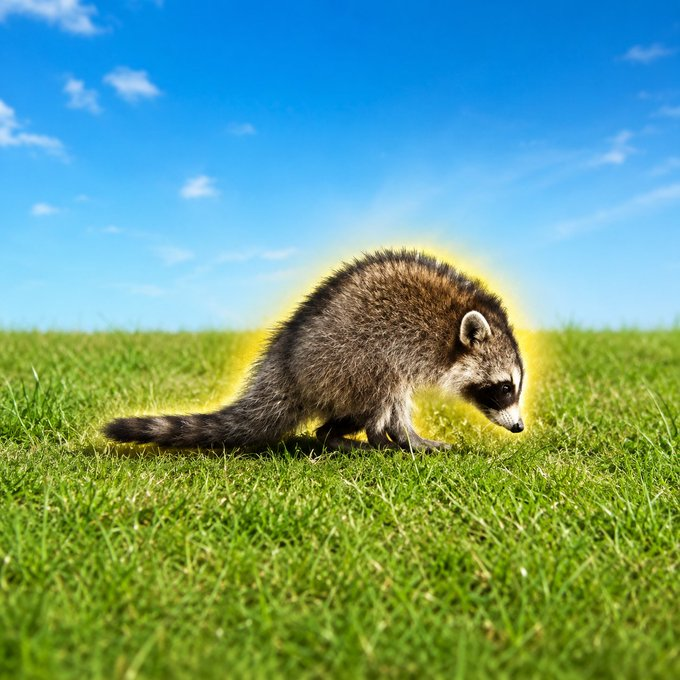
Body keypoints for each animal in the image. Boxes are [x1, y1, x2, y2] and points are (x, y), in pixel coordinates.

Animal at [104, 249, 525, 452]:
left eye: (515, 388)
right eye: (504, 387)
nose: (520, 426)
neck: (451, 332)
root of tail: (286, 366)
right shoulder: (411, 343)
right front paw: (398, 435)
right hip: (348, 361)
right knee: (384, 390)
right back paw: (391, 438)